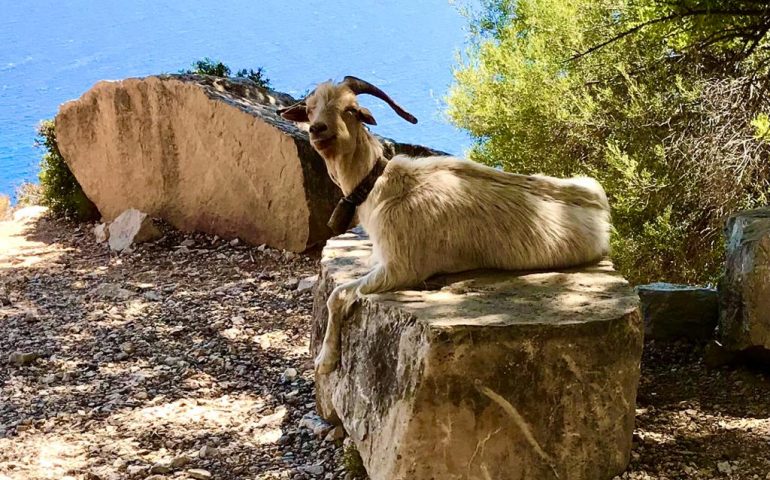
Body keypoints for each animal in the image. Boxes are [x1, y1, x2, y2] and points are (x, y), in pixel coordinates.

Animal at [280, 76, 608, 376]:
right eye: (310, 109)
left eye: (350, 109)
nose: (318, 130)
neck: (378, 186)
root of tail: (601, 213)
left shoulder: (401, 267)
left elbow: (337, 296)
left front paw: (325, 361)